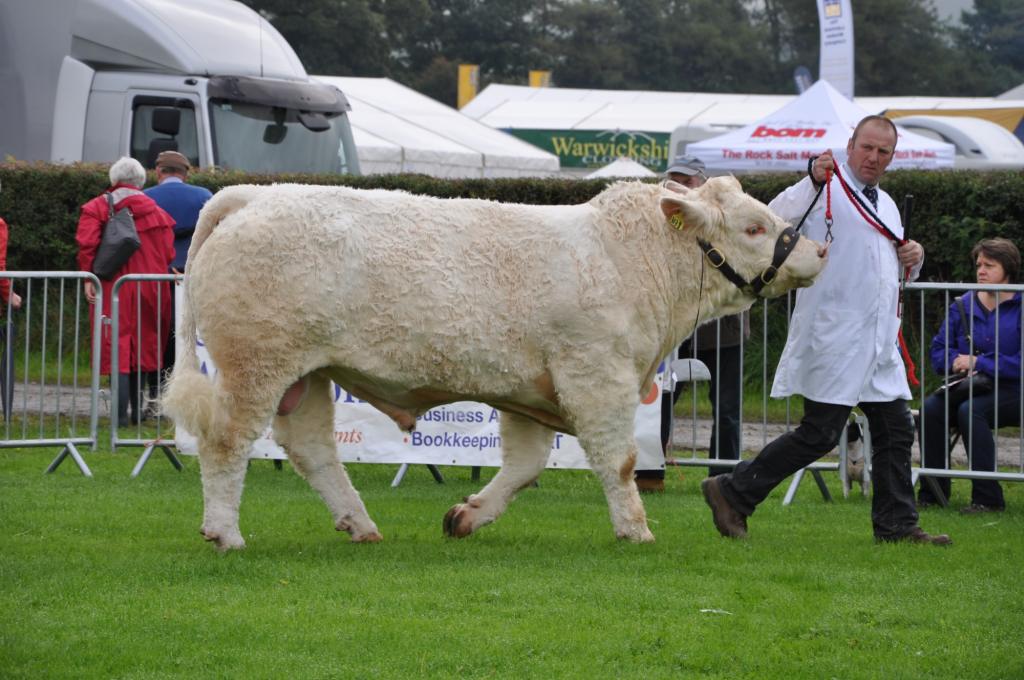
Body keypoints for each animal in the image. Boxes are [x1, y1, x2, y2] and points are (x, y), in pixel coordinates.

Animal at [165, 178, 823, 548]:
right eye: (754, 225)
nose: (817, 248)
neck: (631, 260)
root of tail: (253, 196)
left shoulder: (530, 391)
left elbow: (526, 467)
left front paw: (467, 516)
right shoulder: (595, 374)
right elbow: (620, 461)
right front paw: (635, 529)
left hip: (307, 374)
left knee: (312, 450)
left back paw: (360, 525)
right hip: (258, 362)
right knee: (227, 441)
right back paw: (225, 532)